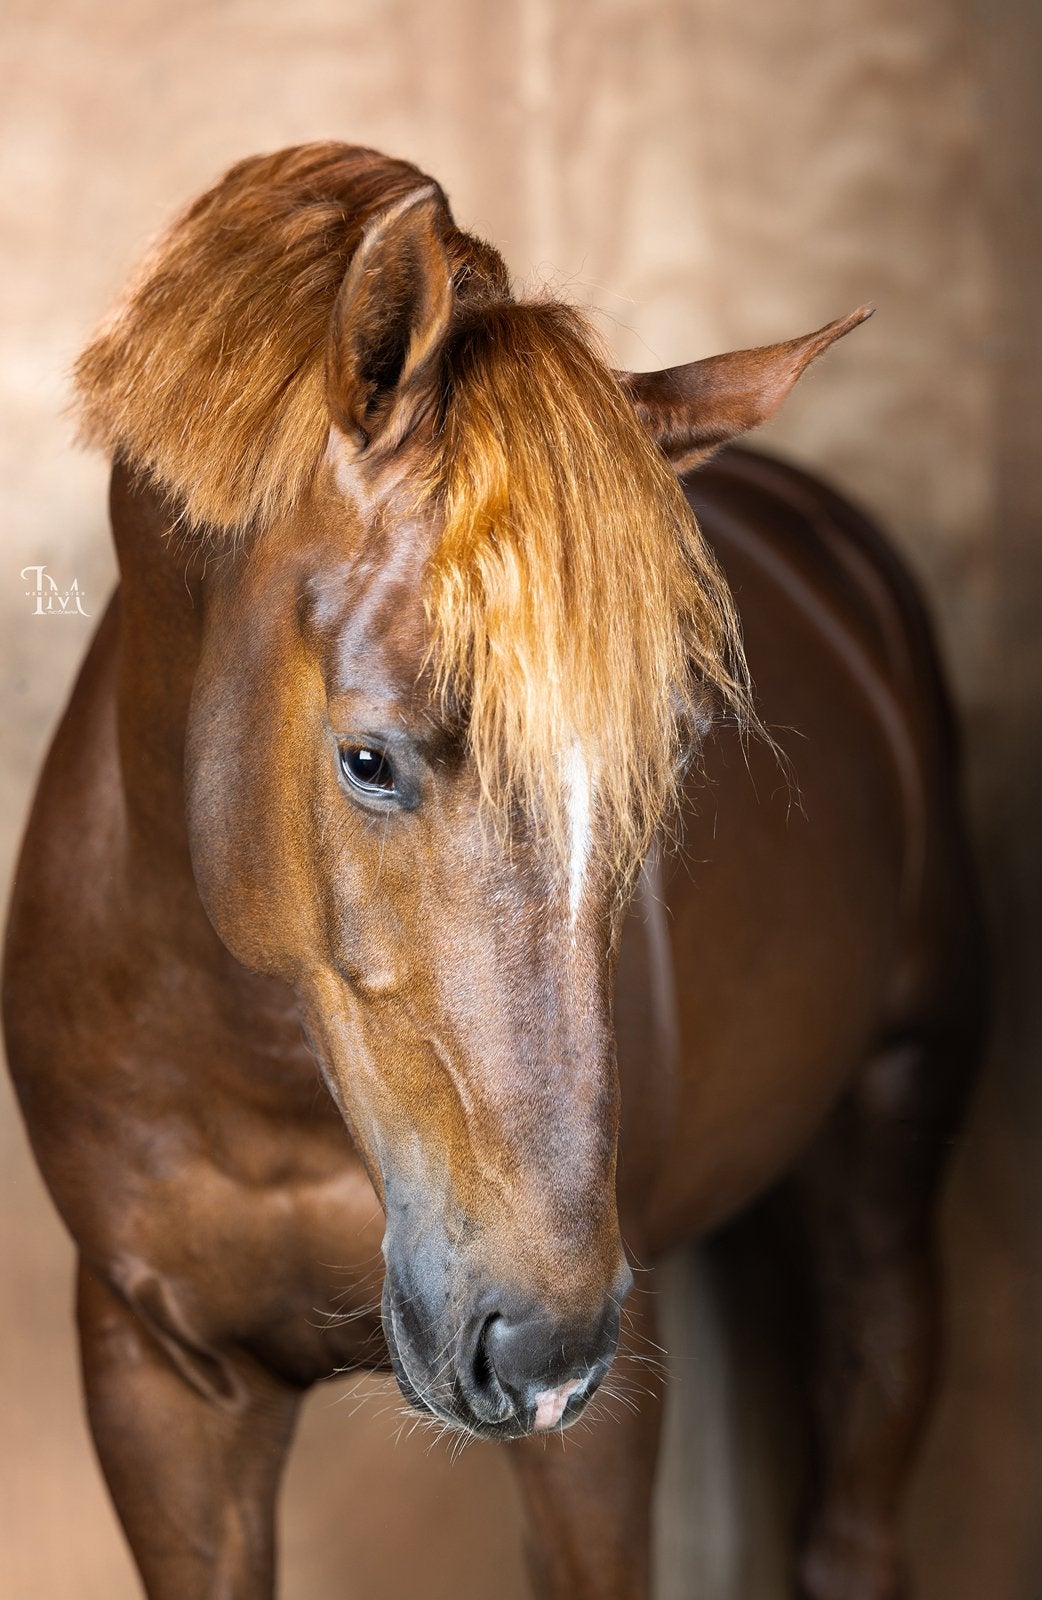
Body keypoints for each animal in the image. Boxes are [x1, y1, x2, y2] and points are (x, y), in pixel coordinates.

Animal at [2, 143, 986, 1600]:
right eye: (368, 759)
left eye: (660, 765)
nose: (541, 1346)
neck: (255, 1064)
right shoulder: (160, 1386)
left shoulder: (596, 1422)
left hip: (886, 1157)